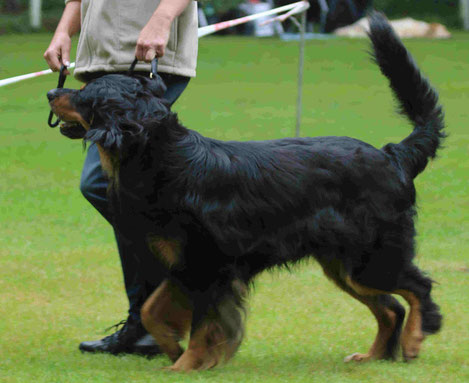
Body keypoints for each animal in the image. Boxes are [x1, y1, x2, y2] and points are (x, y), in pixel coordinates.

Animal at [49, 13, 444, 374]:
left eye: (85, 95)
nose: (53, 91)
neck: (164, 156)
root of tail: (393, 154)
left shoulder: (209, 265)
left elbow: (202, 325)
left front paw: (185, 365)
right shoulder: (184, 265)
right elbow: (150, 311)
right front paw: (173, 350)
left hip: (370, 255)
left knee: (418, 288)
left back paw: (412, 341)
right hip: (344, 263)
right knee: (391, 307)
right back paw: (374, 355)